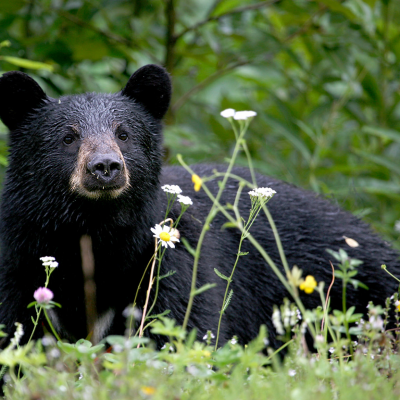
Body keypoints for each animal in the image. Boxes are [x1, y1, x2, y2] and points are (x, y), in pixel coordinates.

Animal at [0, 64, 398, 348]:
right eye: (68, 137)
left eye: (123, 134)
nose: (105, 167)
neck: (94, 230)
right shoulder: (17, 256)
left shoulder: (168, 257)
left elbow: (180, 326)